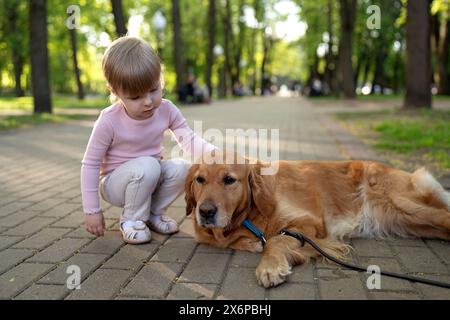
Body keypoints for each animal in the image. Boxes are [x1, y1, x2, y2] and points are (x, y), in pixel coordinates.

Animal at [184, 150, 450, 288]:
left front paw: (269, 267)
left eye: (229, 180)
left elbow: (274, 241)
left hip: (406, 206)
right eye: (200, 180)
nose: (205, 212)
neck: (249, 215)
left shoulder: (308, 223)